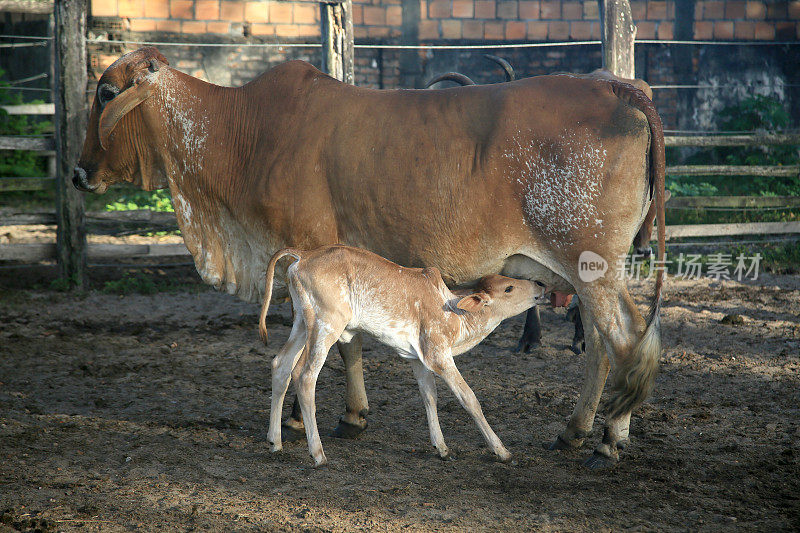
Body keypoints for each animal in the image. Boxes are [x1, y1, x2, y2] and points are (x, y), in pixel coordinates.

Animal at [260, 245, 548, 466]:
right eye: (509, 288)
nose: (540, 284)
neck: (455, 315)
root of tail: (302, 256)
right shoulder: (439, 356)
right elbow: (469, 398)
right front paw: (502, 451)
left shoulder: (417, 359)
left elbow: (429, 397)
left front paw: (442, 448)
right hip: (326, 326)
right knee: (304, 375)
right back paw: (318, 455)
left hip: (301, 323)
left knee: (280, 365)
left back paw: (275, 442)